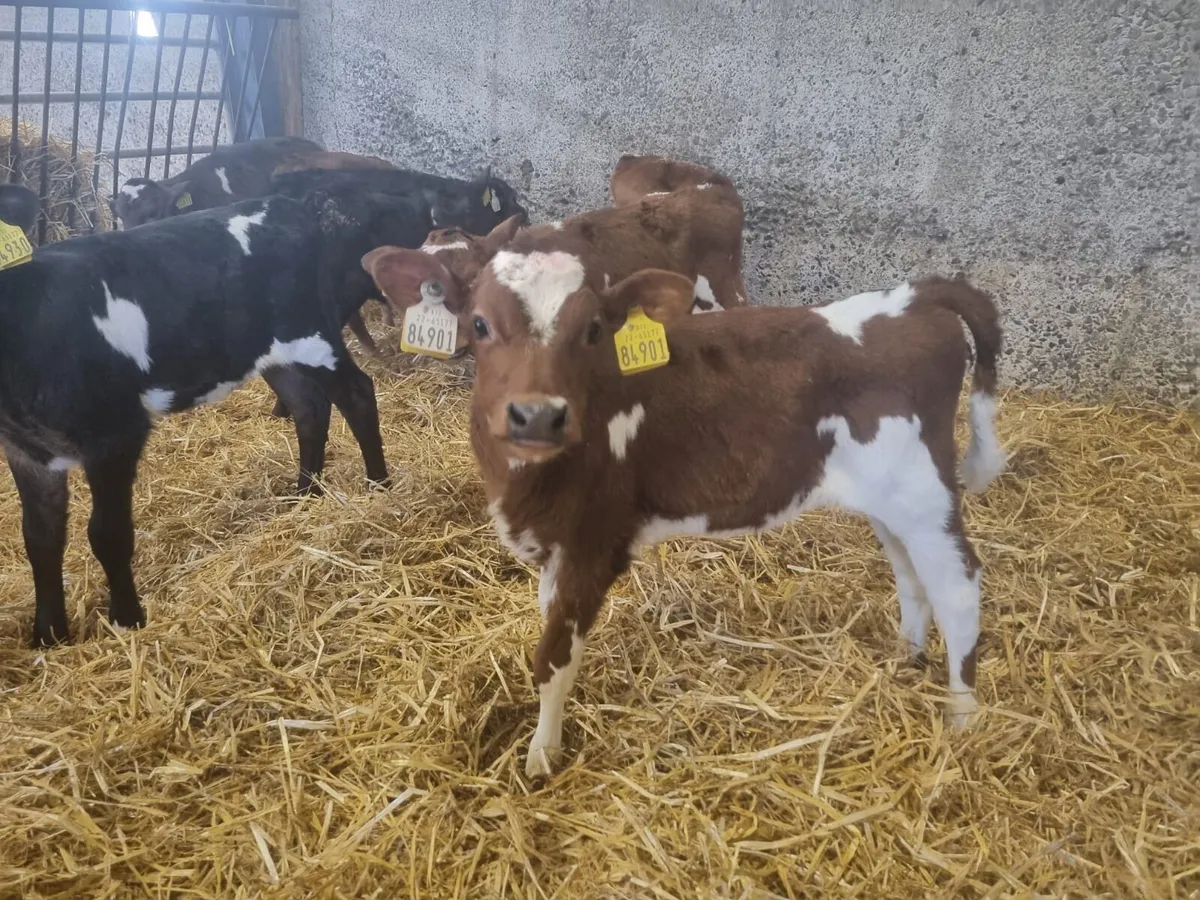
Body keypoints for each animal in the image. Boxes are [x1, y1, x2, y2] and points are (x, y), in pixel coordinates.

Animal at [0, 182, 451, 648]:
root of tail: (289, 206)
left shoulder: (116, 434)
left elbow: (107, 533)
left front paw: (127, 620)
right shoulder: (26, 450)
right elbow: (40, 539)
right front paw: (47, 636)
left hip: (311, 334)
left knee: (357, 394)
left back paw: (378, 486)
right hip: (273, 354)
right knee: (309, 406)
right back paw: (304, 495)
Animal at [364, 246, 1006, 778]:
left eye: (592, 329)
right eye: (478, 323)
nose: (537, 415)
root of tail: (915, 298)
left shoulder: (594, 543)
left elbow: (553, 660)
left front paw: (542, 756)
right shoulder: (555, 546)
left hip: (922, 489)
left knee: (958, 584)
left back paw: (963, 717)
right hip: (888, 498)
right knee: (910, 573)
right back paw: (906, 658)